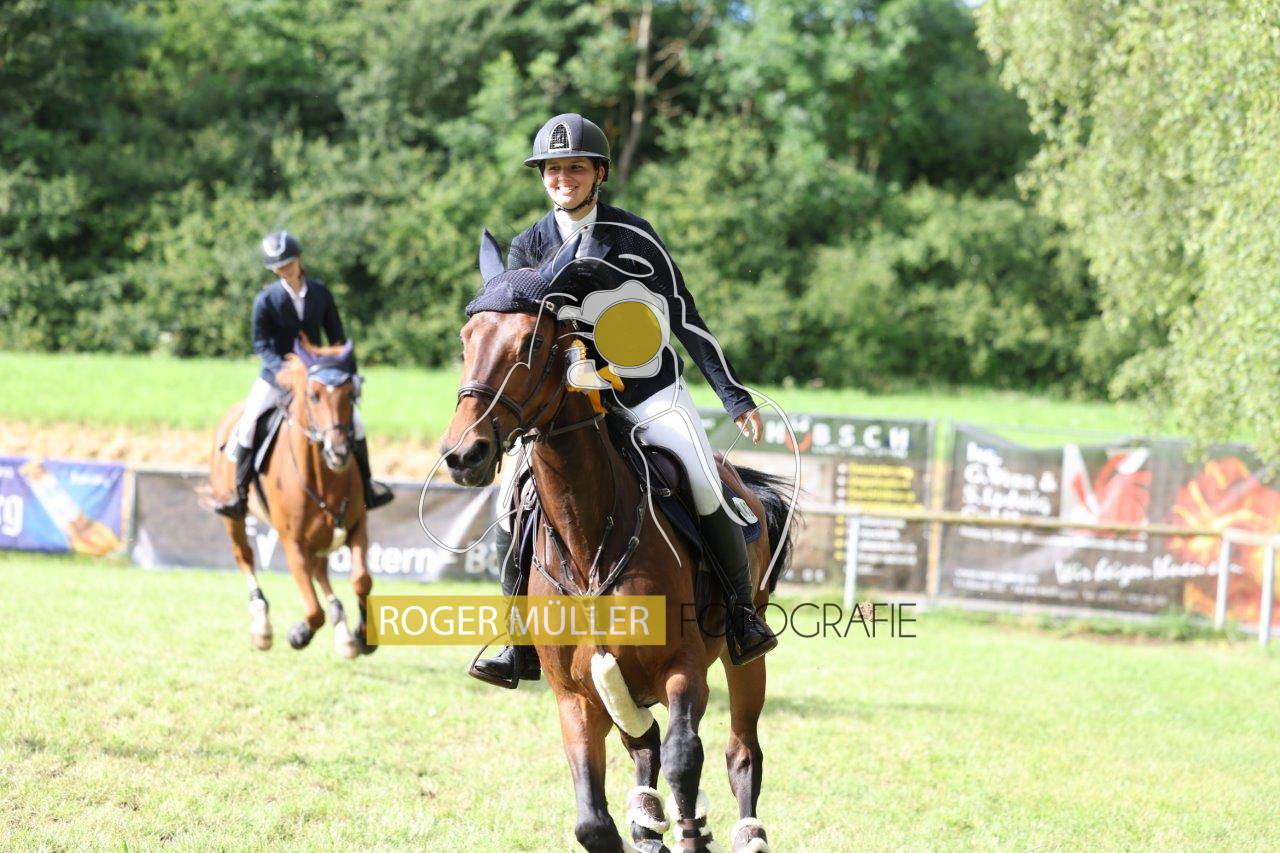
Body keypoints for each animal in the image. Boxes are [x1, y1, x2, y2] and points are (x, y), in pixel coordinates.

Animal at [209, 335, 375, 659]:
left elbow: (362, 580)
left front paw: (363, 636)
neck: (325, 479)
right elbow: (313, 611)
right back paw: (262, 627)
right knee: (244, 556)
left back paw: (344, 634)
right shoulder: (292, 543)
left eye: (351, 395)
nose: (339, 453)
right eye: (314, 396)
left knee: (320, 571)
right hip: (234, 518)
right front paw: (299, 634)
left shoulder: (356, 526)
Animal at [442, 307, 793, 852]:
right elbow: (593, 819)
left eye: (532, 344)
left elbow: (684, 758)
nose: (465, 455)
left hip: (744, 657)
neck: (589, 538)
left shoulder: (683, 668)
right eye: (466, 341)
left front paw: (692, 833)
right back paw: (647, 823)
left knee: (739, 751)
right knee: (644, 744)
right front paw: (642, 827)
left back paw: (743, 832)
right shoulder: (575, 695)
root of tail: (739, 478)